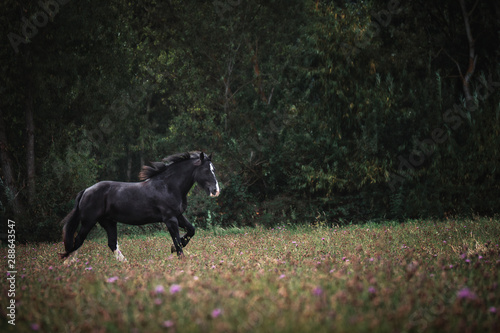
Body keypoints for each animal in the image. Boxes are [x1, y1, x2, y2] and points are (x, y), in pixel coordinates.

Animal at [59, 151, 219, 262]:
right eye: (206, 170)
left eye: (214, 169)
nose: (216, 191)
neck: (168, 186)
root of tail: (86, 191)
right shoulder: (170, 219)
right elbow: (178, 241)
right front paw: (181, 259)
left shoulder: (178, 215)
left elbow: (191, 230)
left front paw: (173, 249)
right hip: (89, 221)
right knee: (78, 241)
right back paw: (69, 264)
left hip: (108, 222)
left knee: (111, 243)